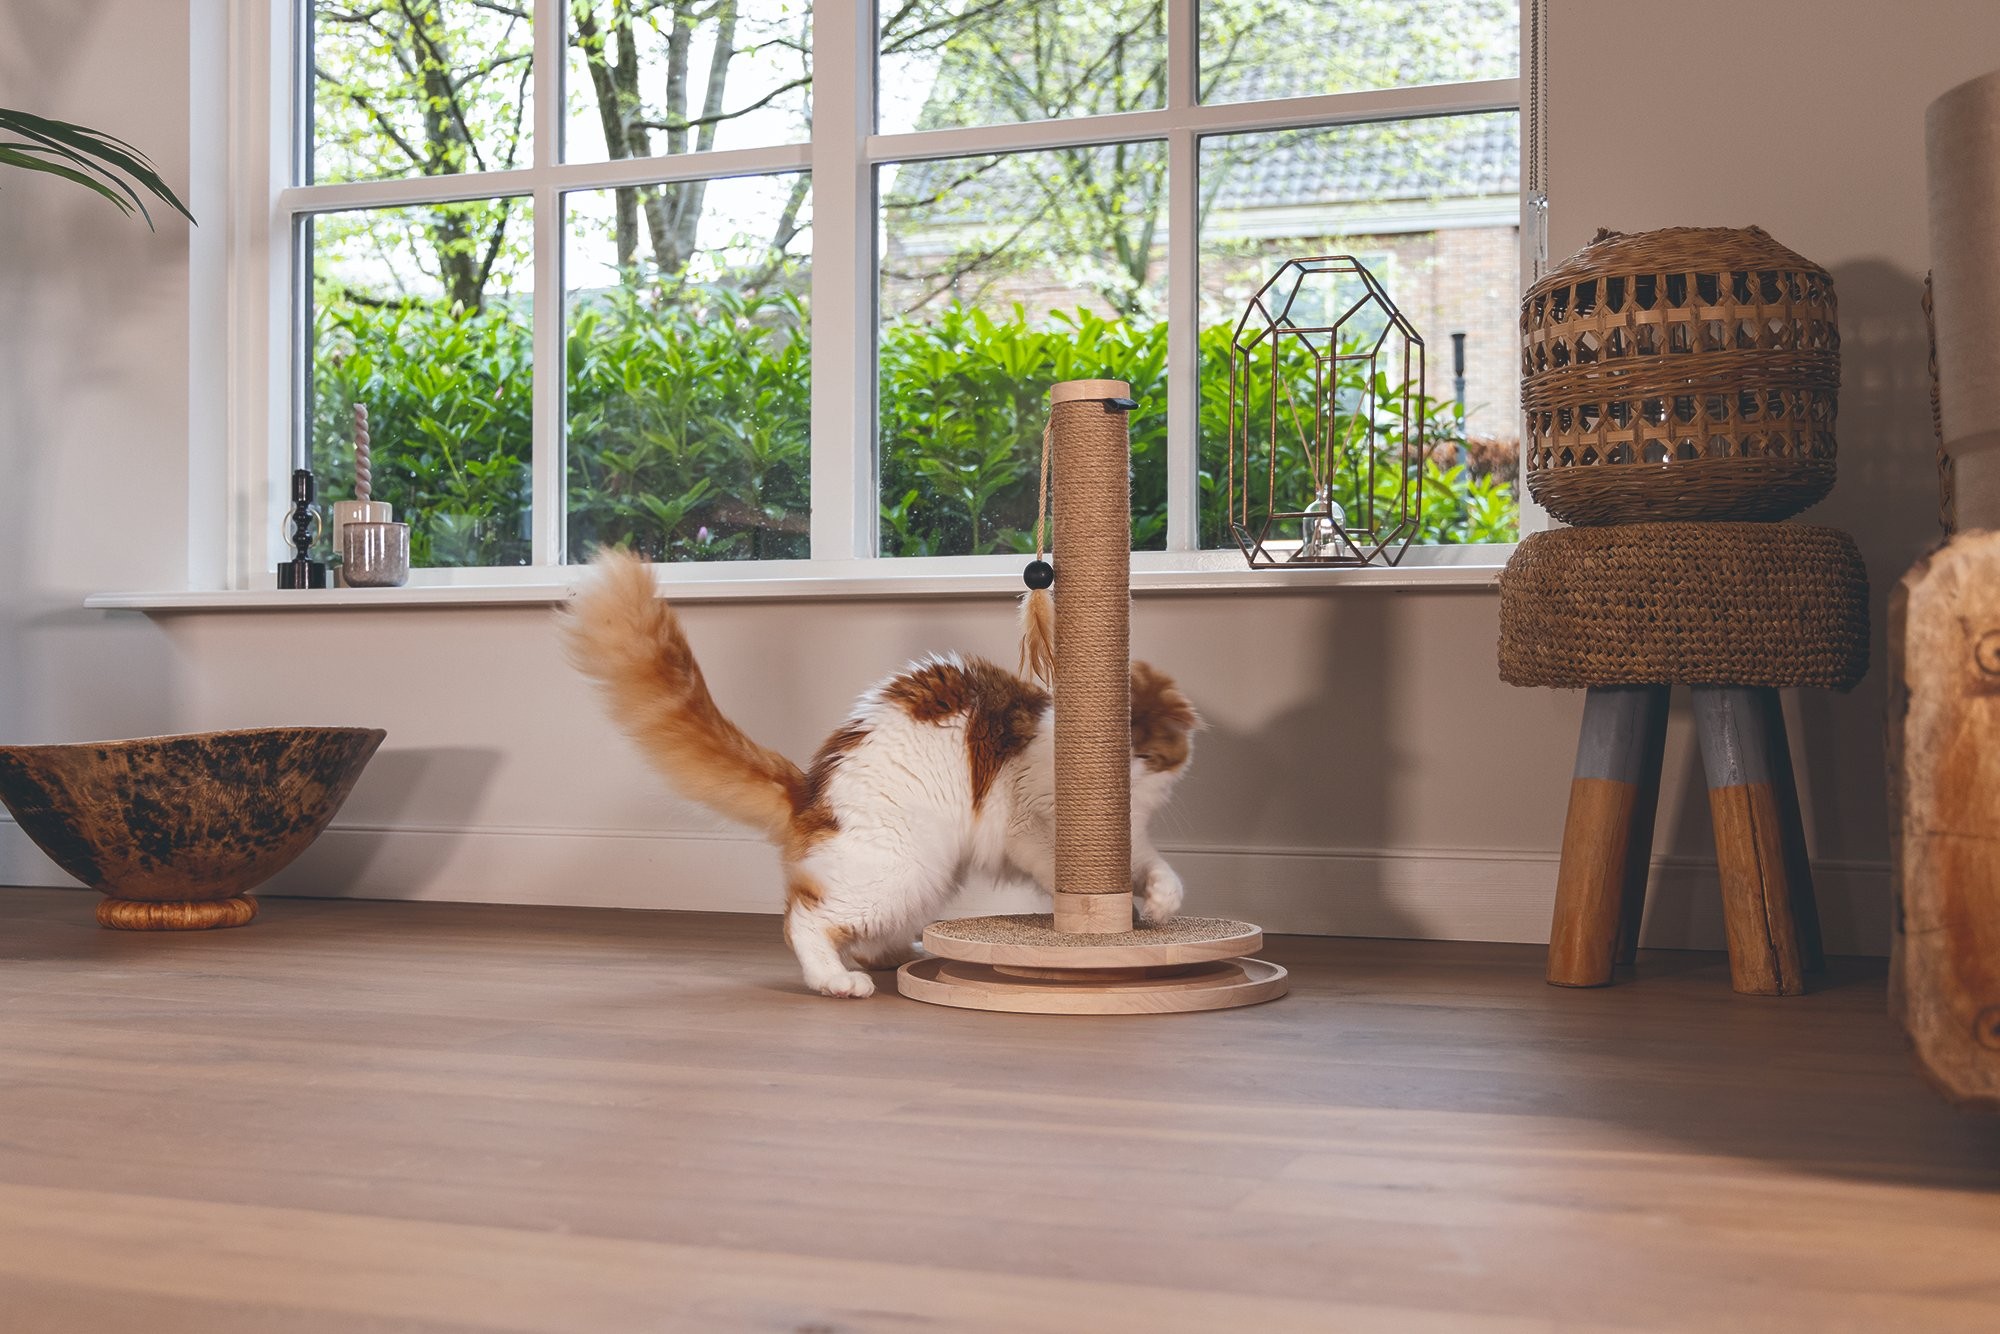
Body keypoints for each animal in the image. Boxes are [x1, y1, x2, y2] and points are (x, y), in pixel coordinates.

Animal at [562, 549, 1200, 998]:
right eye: (1118, 745)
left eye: (1146, 752)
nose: (1123, 772)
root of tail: (809, 789)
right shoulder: (1031, 828)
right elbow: (1066, 876)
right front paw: (1105, 921)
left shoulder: (1128, 836)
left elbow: (1157, 869)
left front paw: (1157, 907)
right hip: (904, 869)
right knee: (807, 918)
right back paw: (837, 981)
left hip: (927, 876)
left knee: (860, 935)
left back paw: (900, 953)